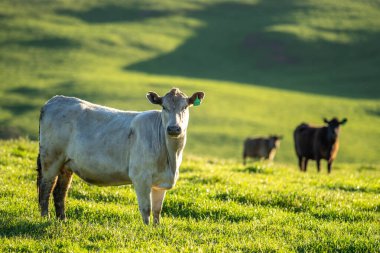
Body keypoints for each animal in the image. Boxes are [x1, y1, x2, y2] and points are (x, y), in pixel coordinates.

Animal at [37, 88, 205, 224]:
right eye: (164, 106)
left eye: (185, 107)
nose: (173, 128)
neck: (171, 158)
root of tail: (55, 100)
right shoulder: (140, 178)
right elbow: (146, 209)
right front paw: (146, 230)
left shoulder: (161, 182)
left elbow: (157, 211)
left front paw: (156, 229)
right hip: (51, 158)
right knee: (46, 188)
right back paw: (45, 218)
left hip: (66, 164)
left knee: (60, 191)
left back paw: (62, 220)